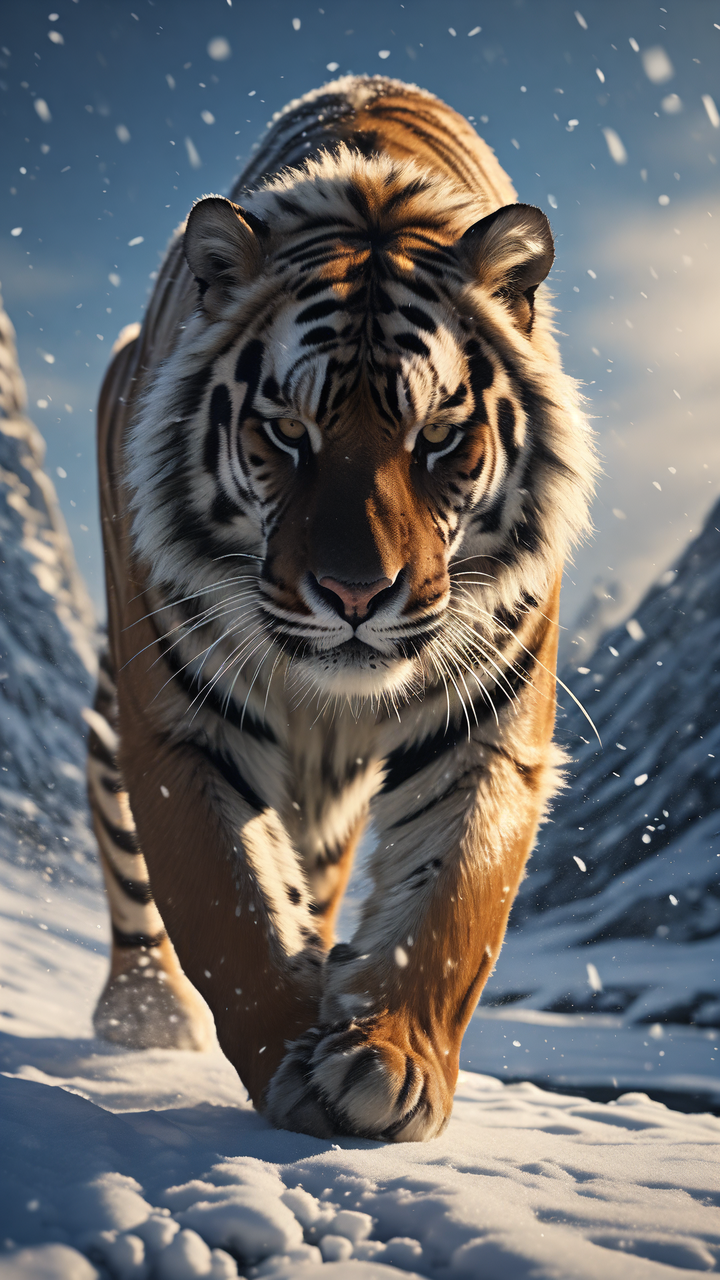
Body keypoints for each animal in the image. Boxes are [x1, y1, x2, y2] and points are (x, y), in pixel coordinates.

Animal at [88, 75, 596, 1141]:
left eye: (438, 436)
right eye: (288, 431)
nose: (358, 593)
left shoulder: (490, 726)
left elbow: (449, 905)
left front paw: (383, 1060)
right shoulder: (179, 728)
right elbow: (229, 907)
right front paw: (290, 1058)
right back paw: (143, 1013)